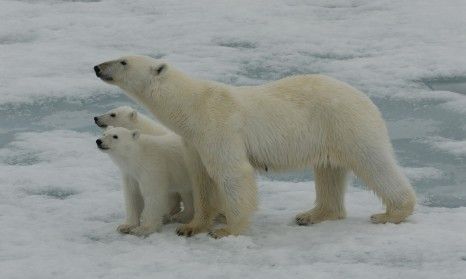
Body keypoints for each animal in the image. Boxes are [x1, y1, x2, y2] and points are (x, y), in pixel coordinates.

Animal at [93, 55, 416, 240]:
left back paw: (392, 213)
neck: (192, 106)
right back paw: (311, 214)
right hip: (329, 133)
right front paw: (192, 226)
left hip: (345, 123)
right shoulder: (194, 141)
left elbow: (232, 173)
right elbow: (201, 179)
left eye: (123, 61)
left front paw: (227, 229)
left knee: (374, 162)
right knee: (328, 171)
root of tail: (365, 97)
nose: (97, 67)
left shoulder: (218, 126)